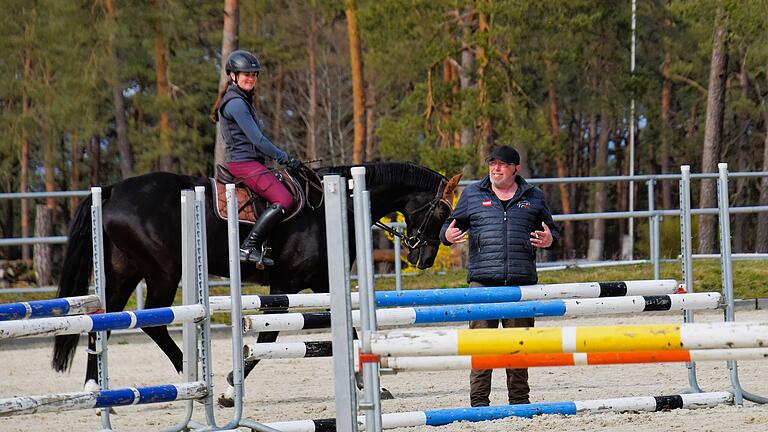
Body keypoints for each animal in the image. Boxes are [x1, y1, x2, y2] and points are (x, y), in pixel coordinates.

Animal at [54, 161, 462, 404]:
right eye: (442, 210)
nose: (424, 258)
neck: (332, 208)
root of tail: (112, 190)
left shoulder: (322, 282)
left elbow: (351, 332)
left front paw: (368, 384)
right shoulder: (286, 284)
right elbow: (268, 336)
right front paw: (230, 388)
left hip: (125, 271)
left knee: (104, 320)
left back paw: (95, 388)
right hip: (162, 272)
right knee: (152, 321)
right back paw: (192, 376)